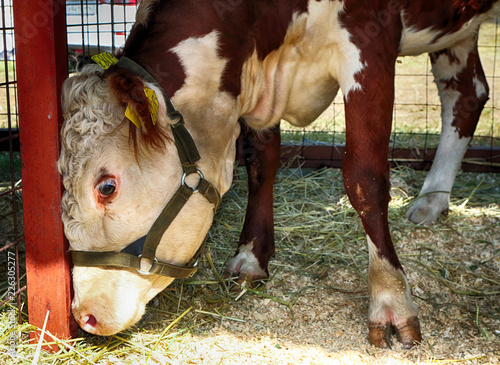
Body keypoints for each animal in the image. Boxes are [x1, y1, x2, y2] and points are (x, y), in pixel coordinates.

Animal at [57, 0, 496, 346]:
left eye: (107, 186)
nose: (84, 315)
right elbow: (261, 163)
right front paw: (252, 256)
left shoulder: (370, 45)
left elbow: (365, 179)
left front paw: (390, 299)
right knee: (467, 93)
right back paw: (432, 200)